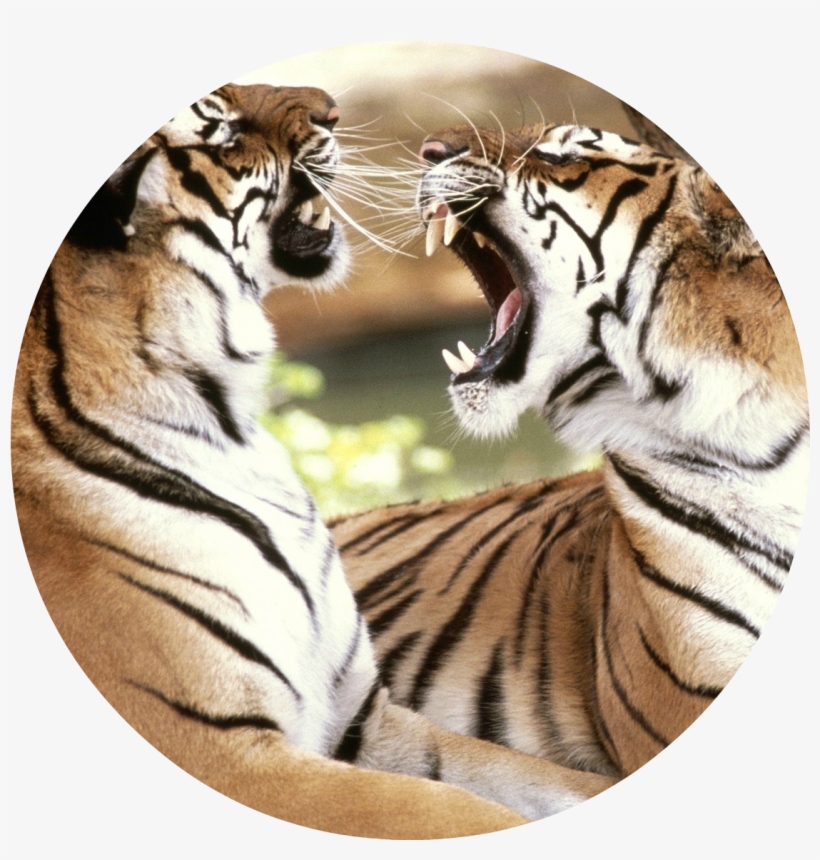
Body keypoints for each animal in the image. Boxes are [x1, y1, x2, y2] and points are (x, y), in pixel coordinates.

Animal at [11, 82, 625, 839]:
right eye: (224, 132)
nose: (331, 107)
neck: (229, 422)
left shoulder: (364, 720)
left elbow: (544, 779)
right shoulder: (228, 754)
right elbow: (457, 812)